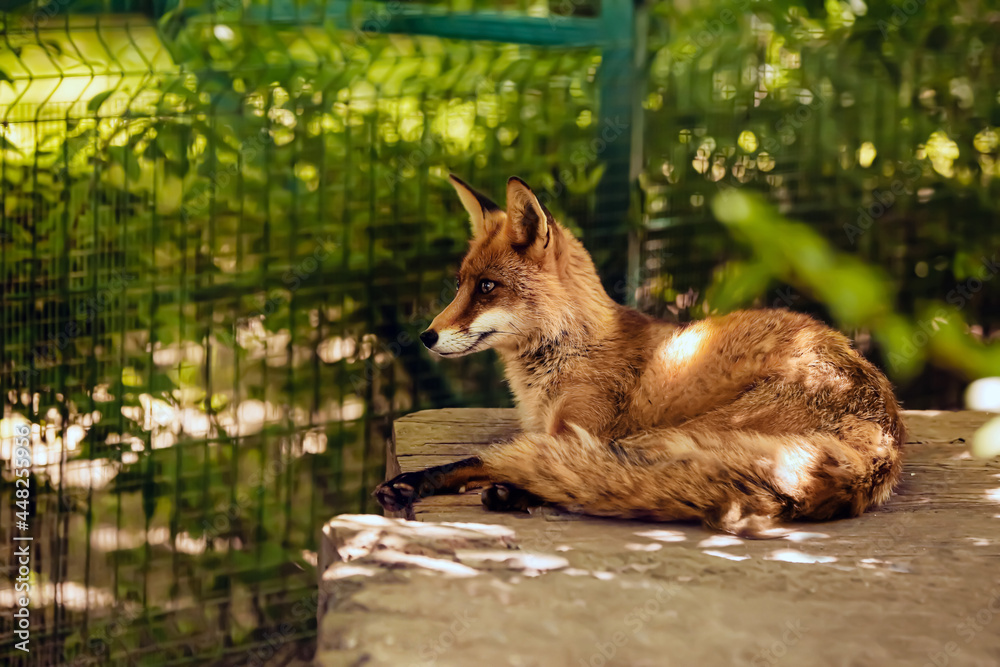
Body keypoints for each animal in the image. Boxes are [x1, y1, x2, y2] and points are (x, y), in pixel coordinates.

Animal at [374, 175, 904, 537]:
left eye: (487, 287)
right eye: (460, 284)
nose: (426, 336)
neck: (567, 356)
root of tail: (882, 439)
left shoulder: (579, 431)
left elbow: (481, 459)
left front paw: (418, 480)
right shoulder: (559, 434)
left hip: (675, 435)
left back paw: (514, 493)